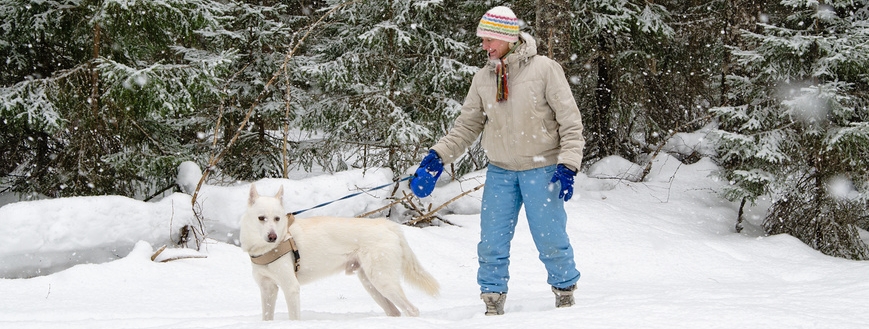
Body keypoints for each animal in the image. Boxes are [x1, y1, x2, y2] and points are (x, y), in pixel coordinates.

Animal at [241, 184, 438, 320]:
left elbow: (294, 318)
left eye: (277, 218)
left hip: (383, 282)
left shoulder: (291, 288)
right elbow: (267, 318)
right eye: (261, 218)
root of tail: (387, 225)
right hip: (371, 284)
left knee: (412, 310)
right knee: (394, 311)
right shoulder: (267, 289)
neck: (267, 248)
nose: (273, 236)